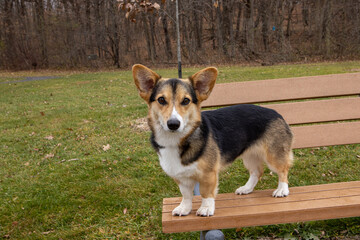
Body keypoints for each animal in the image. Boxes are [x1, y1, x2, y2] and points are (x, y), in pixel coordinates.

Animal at [132, 64, 292, 217]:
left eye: (185, 101)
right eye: (161, 100)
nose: (173, 124)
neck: (176, 140)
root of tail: (276, 113)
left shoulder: (208, 174)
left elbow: (206, 193)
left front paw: (206, 209)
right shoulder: (182, 177)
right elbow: (186, 195)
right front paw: (184, 208)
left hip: (273, 155)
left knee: (283, 170)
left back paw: (282, 190)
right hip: (250, 155)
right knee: (257, 172)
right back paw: (246, 188)